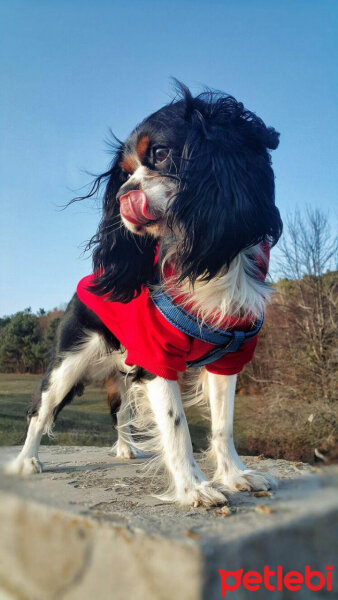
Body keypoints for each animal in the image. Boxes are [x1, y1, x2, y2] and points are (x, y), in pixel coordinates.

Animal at [7, 83, 282, 506]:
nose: (122, 195)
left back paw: (125, 448)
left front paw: (236, 475)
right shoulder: (156, 358)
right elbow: (176, 425)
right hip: (68, 362)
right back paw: (26, 461)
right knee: (41, 410)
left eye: (161, 153)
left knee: (120, 412)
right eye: (123, 172)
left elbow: (224, 423)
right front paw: (194, 487)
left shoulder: (229, 357)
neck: (195, 252)